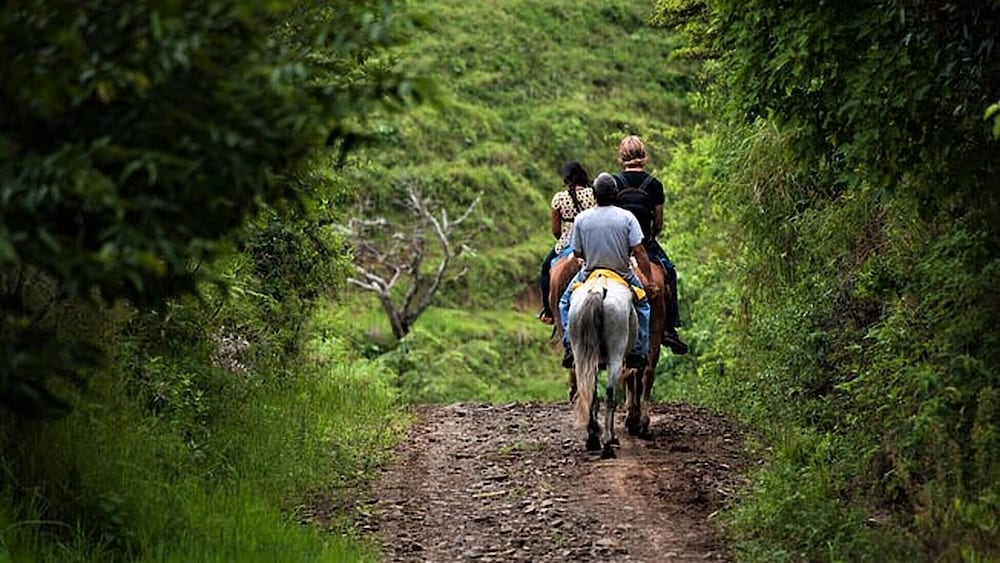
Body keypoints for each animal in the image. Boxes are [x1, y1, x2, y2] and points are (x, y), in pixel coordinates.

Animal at [572, 270, 632, 460]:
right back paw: (607, 445)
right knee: (610, 395)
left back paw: (593, 439)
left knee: (589, 391)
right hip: (616, 354)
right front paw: (613, 437)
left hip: (580, 353)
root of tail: (598, 289)